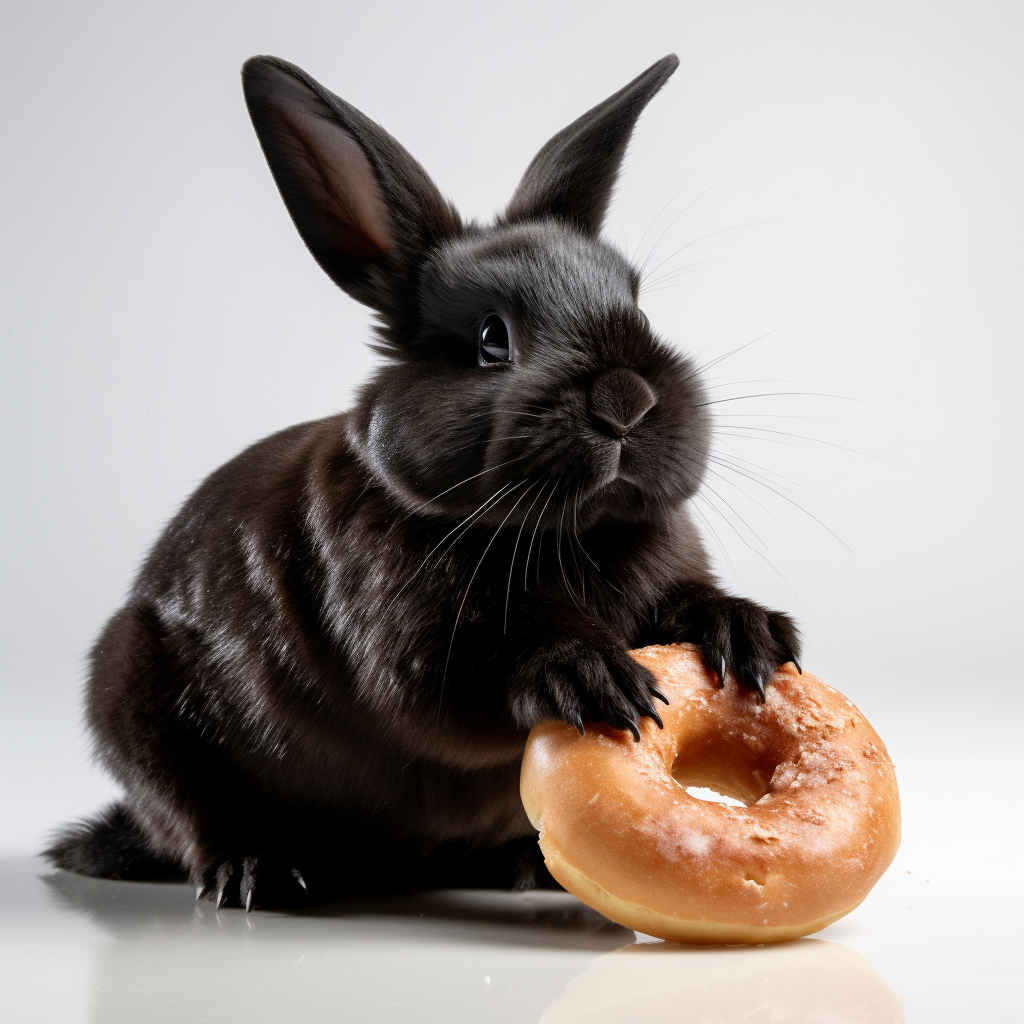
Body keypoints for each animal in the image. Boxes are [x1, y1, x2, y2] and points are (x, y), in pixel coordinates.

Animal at [46, 51, 798, 909]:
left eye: (636, 300)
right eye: (491, 339)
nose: (627, 401)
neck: (571, 533)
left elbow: (687, 604)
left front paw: (751, 636)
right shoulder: (410, 641)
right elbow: (483, 668)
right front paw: (596, 677)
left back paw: (526, 867)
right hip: (138, 705)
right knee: (196, 824)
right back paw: (259, 873)